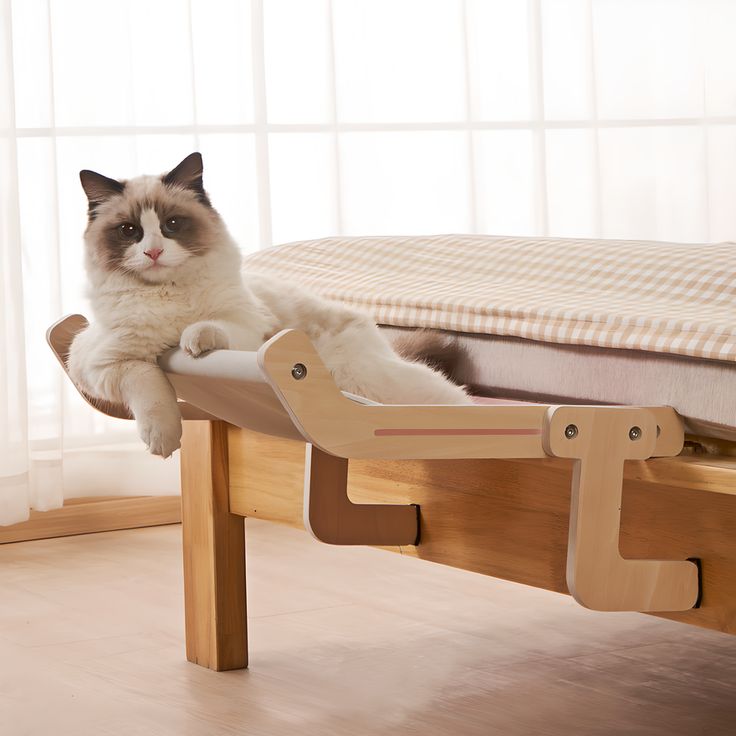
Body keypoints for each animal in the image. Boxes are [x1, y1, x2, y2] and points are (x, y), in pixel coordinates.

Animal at [69, 152, 472, 458]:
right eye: (129, 231)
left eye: (171, 225)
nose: (153, 253)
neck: (166, 296)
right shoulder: (106, 363)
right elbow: (149, 385)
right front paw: (163, 440)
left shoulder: (245, 327)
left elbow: (208, 328)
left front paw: (192, 342)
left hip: (366, 378)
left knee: (449, 398)